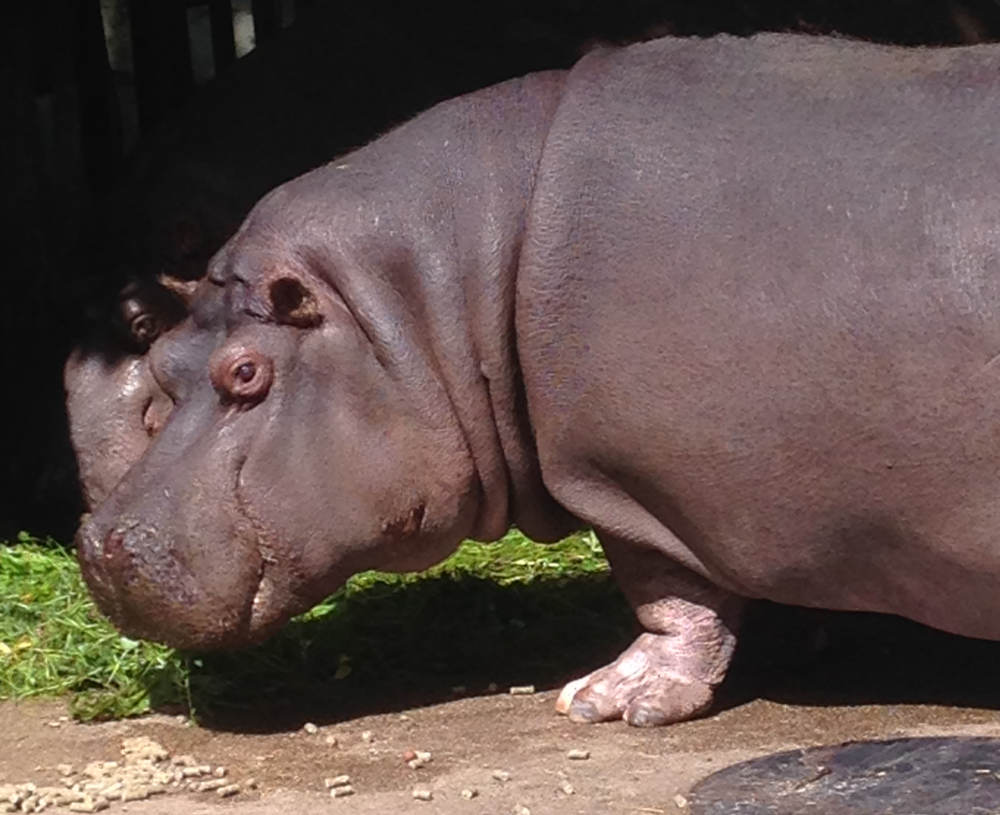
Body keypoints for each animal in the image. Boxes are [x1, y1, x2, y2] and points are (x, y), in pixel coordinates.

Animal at [75, 33, 1000, 726]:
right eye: (160, 357)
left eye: (246, 371)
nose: (98, 545)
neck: (437, 292)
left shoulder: (625, 473)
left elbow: (668, 595)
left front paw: (605, 700)